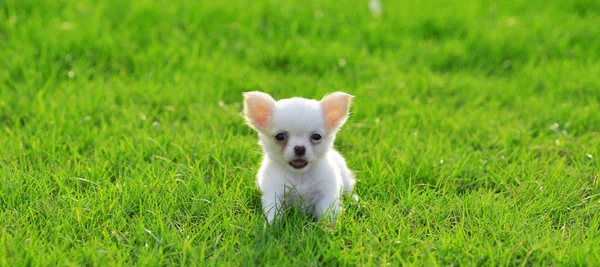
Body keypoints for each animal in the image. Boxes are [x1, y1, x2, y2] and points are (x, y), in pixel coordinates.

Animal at [244, 91, 356, 224]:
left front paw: (327, 226)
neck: (299, 176)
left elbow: (327, 214)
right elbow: (273, 213)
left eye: (317, 136)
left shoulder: (326, 194)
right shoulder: (275, 193)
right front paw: (270, 226)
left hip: (346, 180)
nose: (300, 148)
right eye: (280, 136)